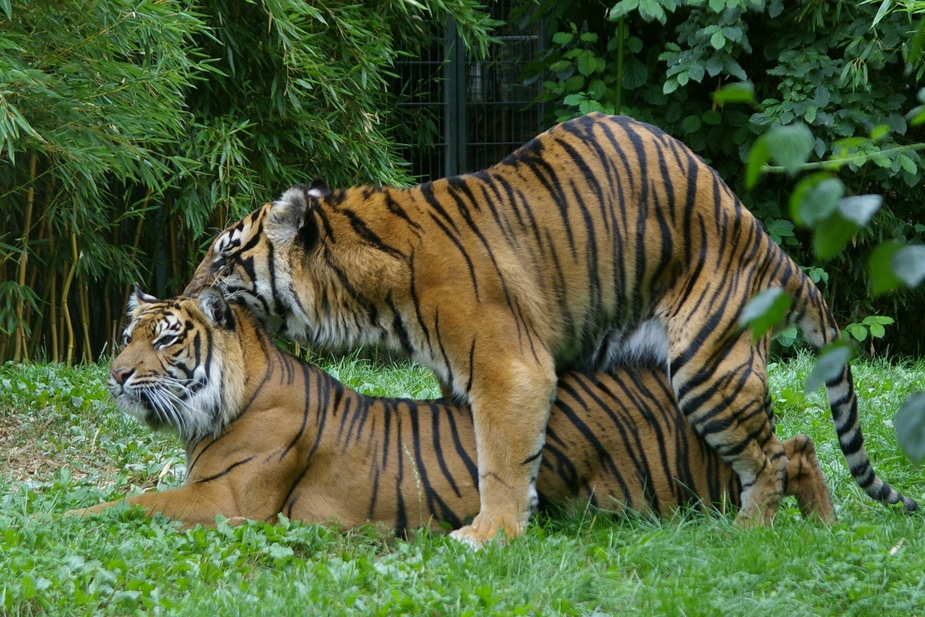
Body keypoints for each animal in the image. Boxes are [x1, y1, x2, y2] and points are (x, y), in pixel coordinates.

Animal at [68, 288, 832, 528]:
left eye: (166, 338)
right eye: (126, 334)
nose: (114, 374)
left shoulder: (229, 503)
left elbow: (129, 503)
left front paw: (60, 517)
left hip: (683, 481)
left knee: (788, 452)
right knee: (794, 445)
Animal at [188, 113, 916, 548]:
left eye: (224, 257)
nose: (189, 292)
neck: (364, 285)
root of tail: (768, 247)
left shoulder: (510, 366)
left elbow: (501, 457)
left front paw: (490, 534)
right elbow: (468, 452)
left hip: (707, 369)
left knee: (769, 456)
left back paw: (747, 533)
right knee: (798, 444)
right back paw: (822, 524)